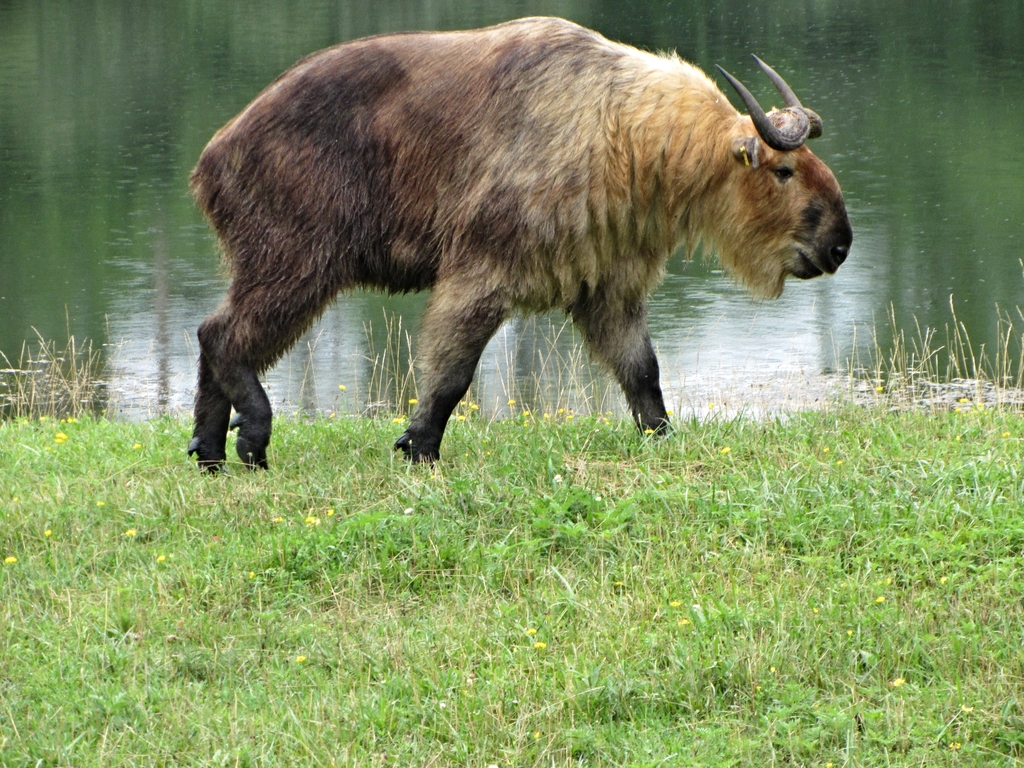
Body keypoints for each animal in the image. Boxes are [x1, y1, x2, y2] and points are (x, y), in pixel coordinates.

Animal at [187, 16, 852, 469]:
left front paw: (663, 440)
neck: (621, 128)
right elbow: (450, 376)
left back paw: (208, 449)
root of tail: (213, 155)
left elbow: (643, 374)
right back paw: (252, 436)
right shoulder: (482, 274)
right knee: (221, 337)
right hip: (297, 264)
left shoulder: (609, 287)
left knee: (211, 336)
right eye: (783, 170)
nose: (841, 245)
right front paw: (419, 448)